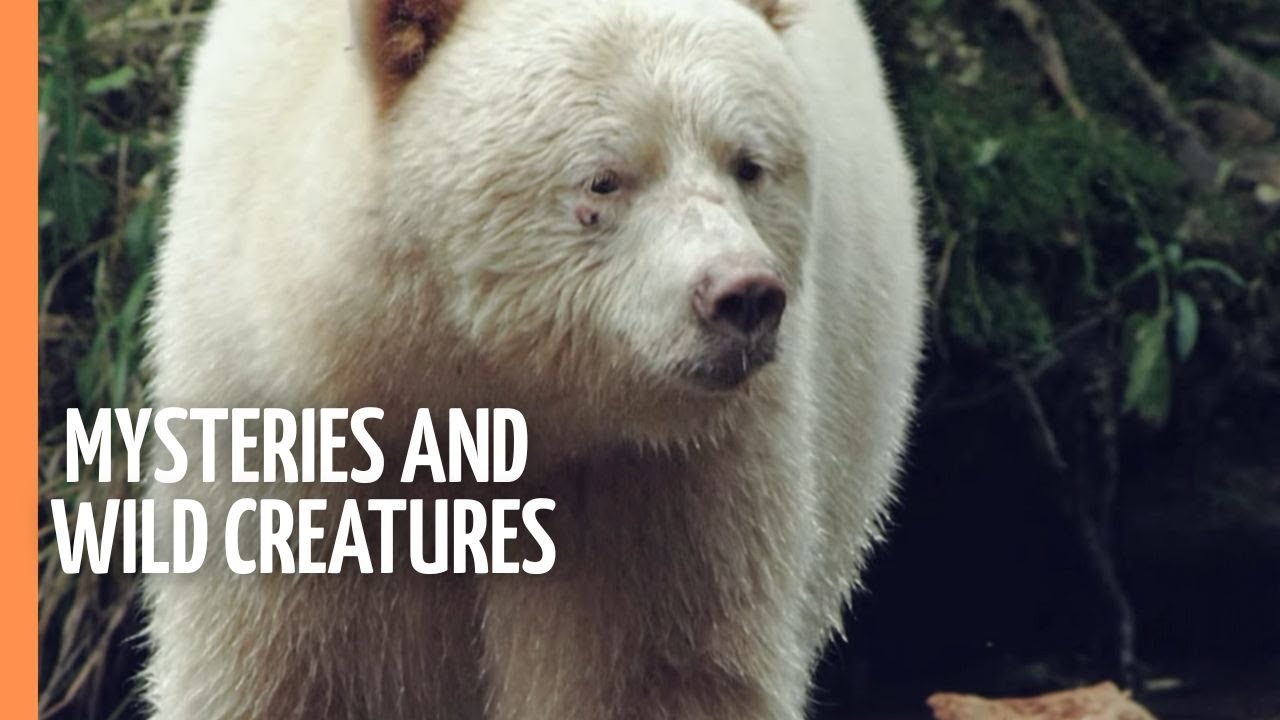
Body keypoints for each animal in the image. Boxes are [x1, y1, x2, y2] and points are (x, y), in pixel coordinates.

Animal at [143, 0, 925, 718]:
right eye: (604, 179)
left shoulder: (667, 474)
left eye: (749, 165)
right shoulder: (295, 421)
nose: (743, 296)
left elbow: (653, 672)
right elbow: (297, 666)